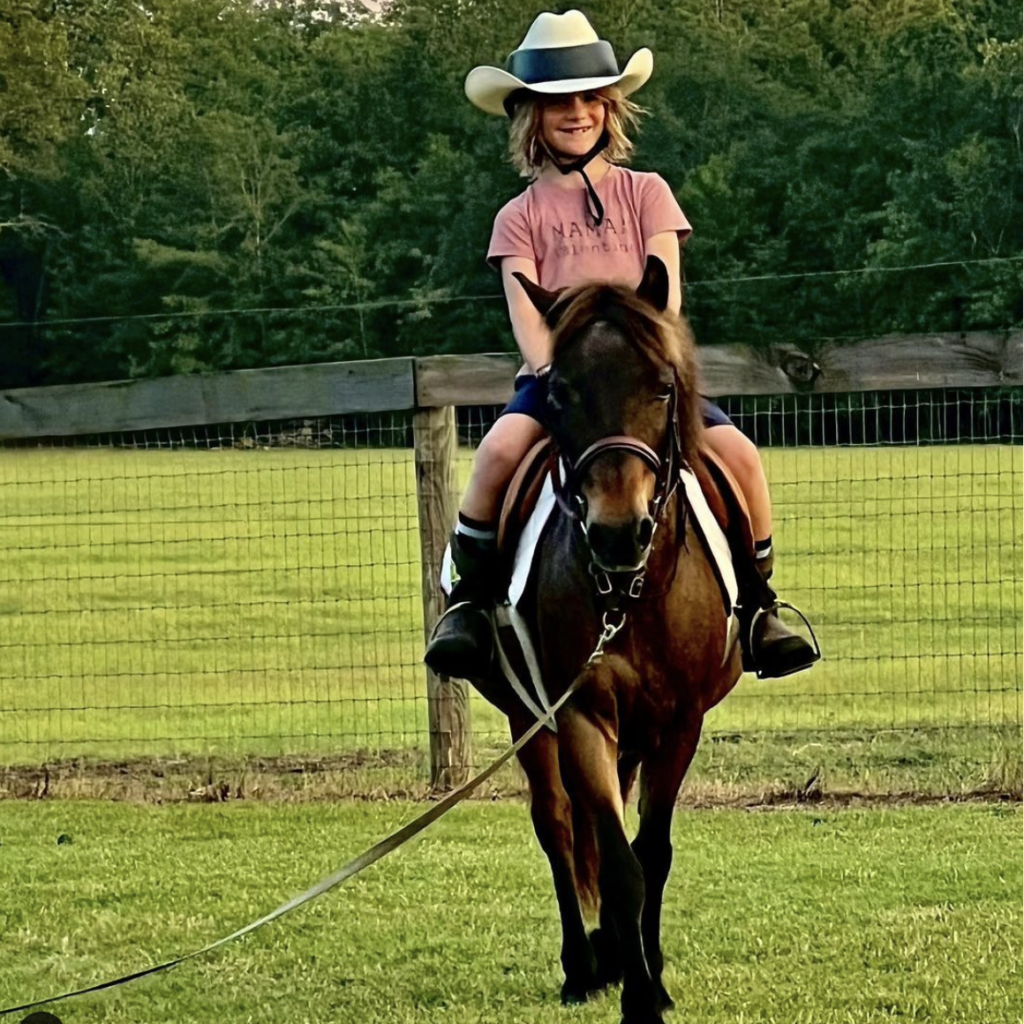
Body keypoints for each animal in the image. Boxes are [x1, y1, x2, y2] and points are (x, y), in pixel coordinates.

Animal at [483, 258, 741, 1024]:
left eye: (662, 385)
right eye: (561, 391)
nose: (618, 532)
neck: (630, 593)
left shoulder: (680, 721)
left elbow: (650, 853)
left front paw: (649, 975)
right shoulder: (580, 715)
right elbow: (618, 862)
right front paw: (635, 993)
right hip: (531, 717)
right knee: (560, 827)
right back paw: (582, 966)